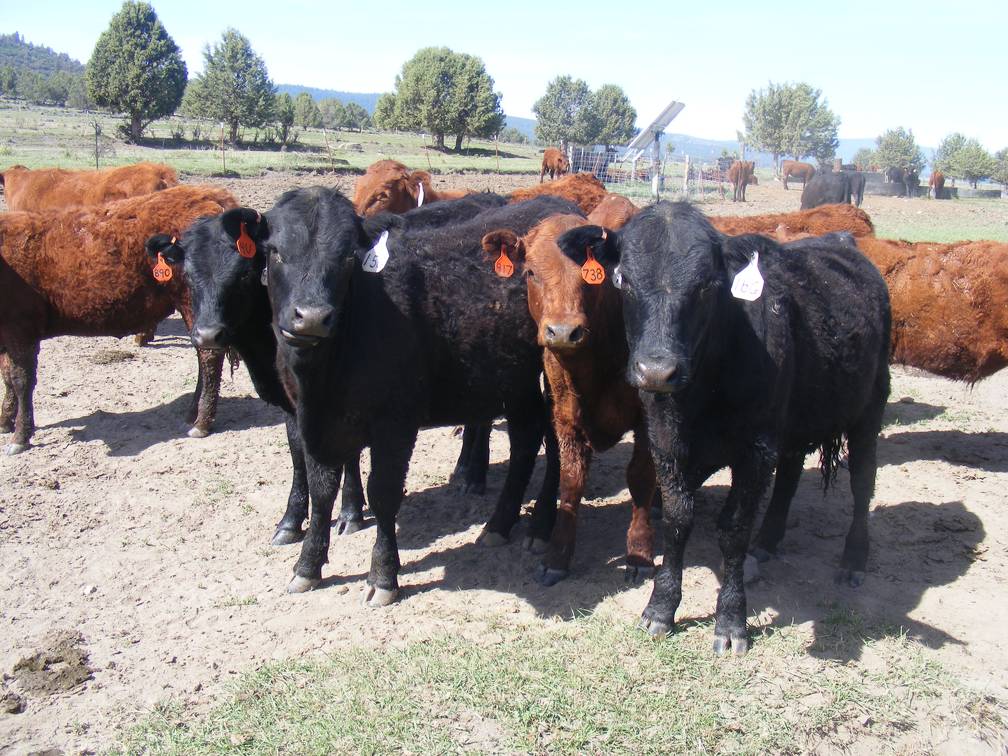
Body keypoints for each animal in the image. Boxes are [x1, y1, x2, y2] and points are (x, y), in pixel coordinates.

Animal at [236, 192, 580, 608]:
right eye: (275, 252)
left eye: (347, 257)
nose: (312, 317)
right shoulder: (312, 421)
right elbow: (321, 492)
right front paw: (307, 566)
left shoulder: (396, 422)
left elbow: (383, 493)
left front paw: (383, 576)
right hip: (513, 379)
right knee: (527, 438)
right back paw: (499, 524)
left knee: (555, 442)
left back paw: (541, 526)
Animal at [481, 213, 661, 584]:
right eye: (530, 272)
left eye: (591, 276)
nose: (563, 332)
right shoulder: (565, 419)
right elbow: (570, 481)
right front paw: (557, 555)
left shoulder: (646, 416)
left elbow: (640, 476)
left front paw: (639, 552)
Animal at [556, 202, 895, 657]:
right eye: (622, 279)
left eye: (708, 285)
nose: (657, 371)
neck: (703, 390)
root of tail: (842, 242)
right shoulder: (666, 442)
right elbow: (677, 520)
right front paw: (661, 607)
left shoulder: (755, 450)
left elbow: (733, 529)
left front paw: (731, 621)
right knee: (789, 476)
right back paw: (768, 541)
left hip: (869, 410)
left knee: (862, 482)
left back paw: (854, 560)